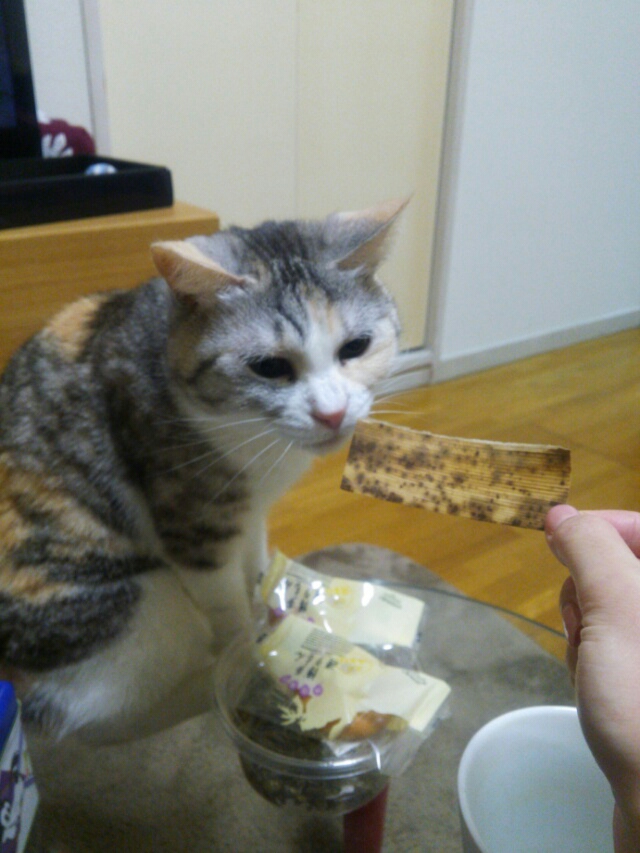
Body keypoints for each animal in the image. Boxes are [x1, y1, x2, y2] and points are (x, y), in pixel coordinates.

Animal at [0, 199, 404, 743]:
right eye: (269, 367)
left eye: (355, 347)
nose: (332, 413)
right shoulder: (195, 527)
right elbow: (230, 610)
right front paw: (252, 661)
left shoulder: (250, 514)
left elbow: (255, 566)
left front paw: (268, 605)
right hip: (146, 603)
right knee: (96, 719)